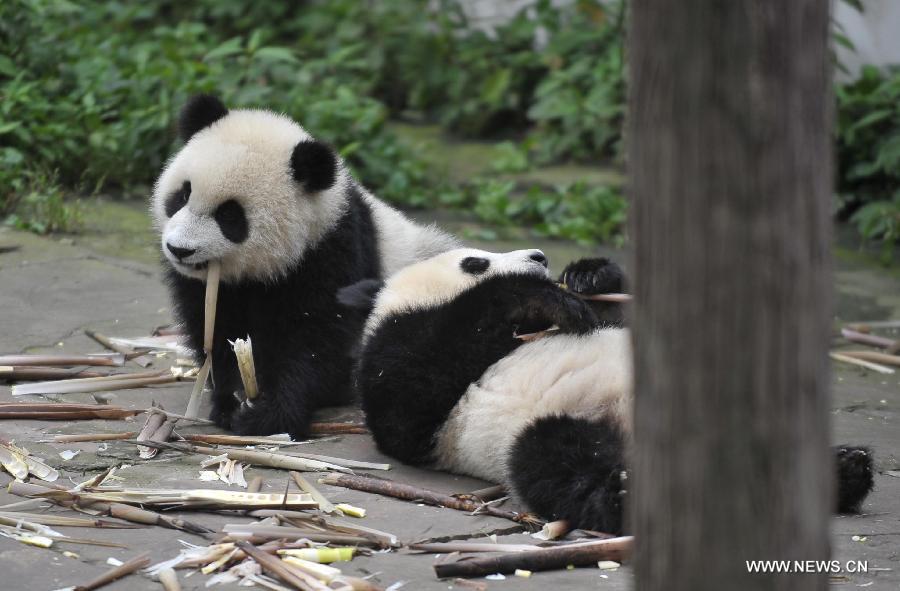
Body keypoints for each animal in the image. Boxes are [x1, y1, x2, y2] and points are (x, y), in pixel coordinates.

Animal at [151, 95, 458, 438]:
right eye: (182, 195)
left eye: (230, 215)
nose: (180, 250)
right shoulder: (211, 287)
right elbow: (219, 331)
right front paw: (232, 398)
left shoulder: (331, 252)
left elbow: (317, 339)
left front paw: (270, 413)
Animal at [342, 247, 876, 536]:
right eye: (476, 260)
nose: (540, 257)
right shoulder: (402, 373)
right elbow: (417, 387)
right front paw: (539, 295)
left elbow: (623, 314)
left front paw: (587, 275)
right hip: (547, 427)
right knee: (558, 459)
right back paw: (625, 492)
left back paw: (843, 468)